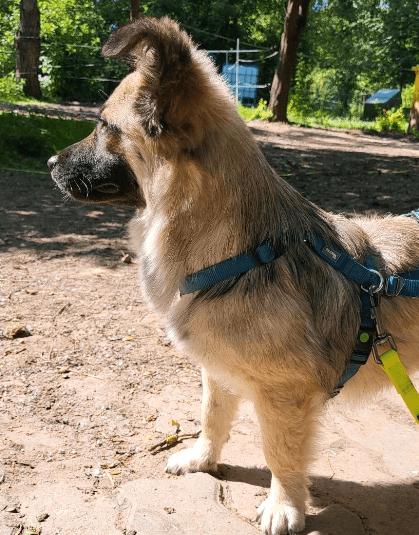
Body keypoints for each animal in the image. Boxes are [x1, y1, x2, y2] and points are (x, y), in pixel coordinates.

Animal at [48, 16, 419, 535]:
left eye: (104, 125)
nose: (48, 163)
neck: (246, 251)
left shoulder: (284, 396)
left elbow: (280, 453)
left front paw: (284, 506)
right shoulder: (216, 369)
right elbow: (212, 417)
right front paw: (203, 459)